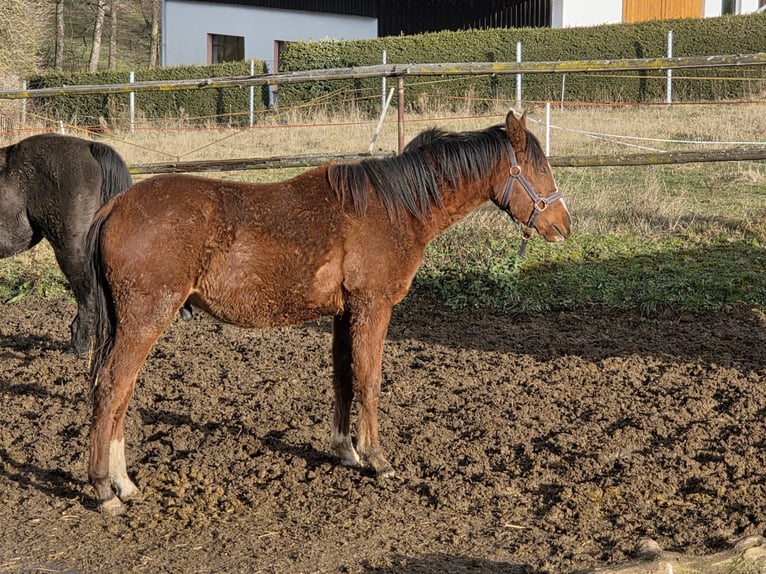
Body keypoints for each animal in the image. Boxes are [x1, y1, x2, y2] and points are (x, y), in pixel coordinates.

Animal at [86, 110, 571, 514]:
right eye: (539, 169)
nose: (563, 225)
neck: (396, 208)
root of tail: (115, 206)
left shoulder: (344, 312)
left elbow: (343, 376)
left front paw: (346, 449)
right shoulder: (373, 307)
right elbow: (369, 380)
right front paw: (377, 459)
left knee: (122, 394)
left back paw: (124, 483)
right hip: (146, 319)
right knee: (111, 388)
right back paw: (103, 489)